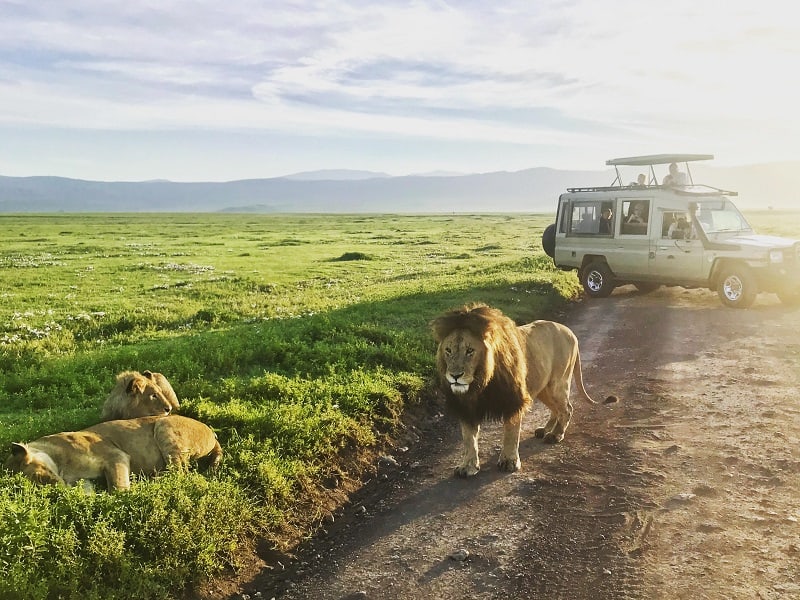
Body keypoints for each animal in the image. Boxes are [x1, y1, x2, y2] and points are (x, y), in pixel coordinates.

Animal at [6, 414, 222, 490]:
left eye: (40, 478)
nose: (59, 490)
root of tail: (211, 432)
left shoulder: (115, 455)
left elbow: (117, 488)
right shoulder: (84, 480)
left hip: (164, 425)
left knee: (180, 473)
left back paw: (149, 481)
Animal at [432, 304, 612, 478]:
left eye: (470, 351)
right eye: (448, 350)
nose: (455, 376)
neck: (480, 383)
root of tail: (570, 331)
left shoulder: (513, 399)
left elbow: (511, 433)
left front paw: (509, 462)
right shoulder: (467, 406)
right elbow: (469, 438)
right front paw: (467, 466)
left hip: (557, 384)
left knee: (567, 408)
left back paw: (555, 435)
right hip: (543, 388)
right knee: (557, 409)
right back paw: (545, 430)